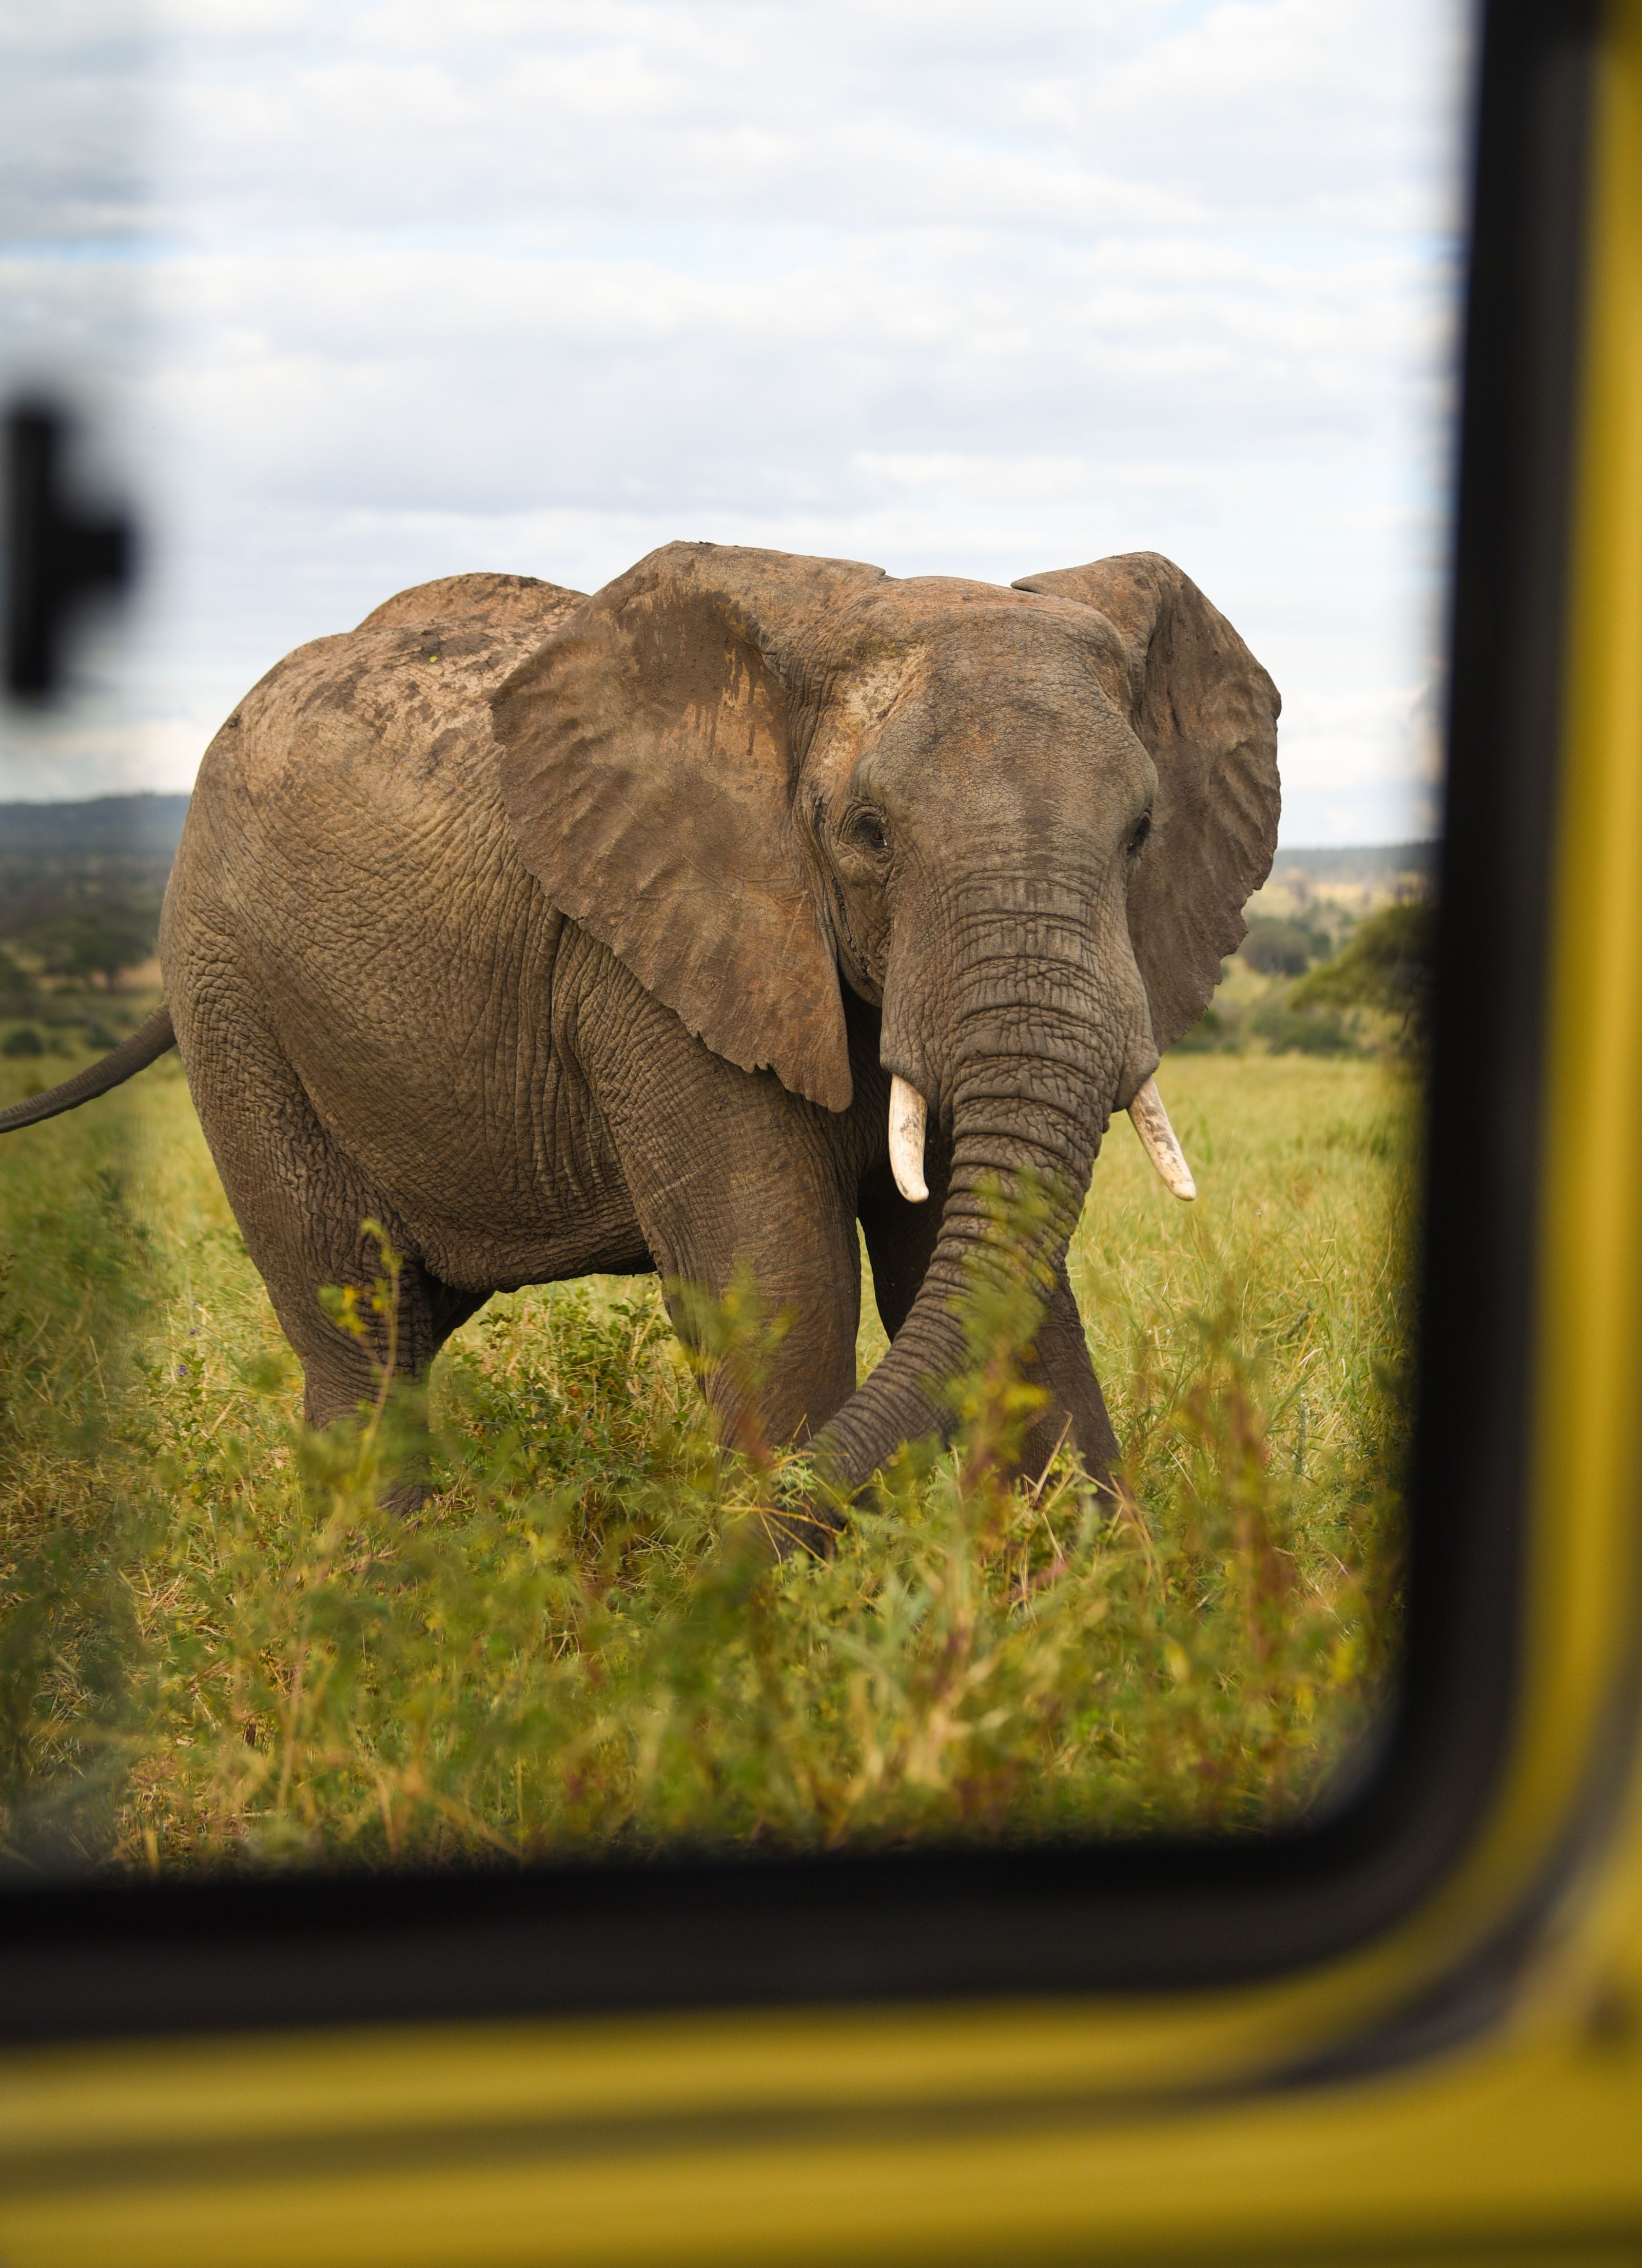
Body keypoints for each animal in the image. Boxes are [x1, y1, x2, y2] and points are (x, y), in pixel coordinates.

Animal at [0, 543, 1280, 1529]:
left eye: (1142, 832)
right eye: (866, 832)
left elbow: (1000, 1287)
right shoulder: (645, 967)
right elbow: (780, 1288)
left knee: (402, 1329)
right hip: (231, 994)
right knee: (357, 1327)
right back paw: (384, 1610)